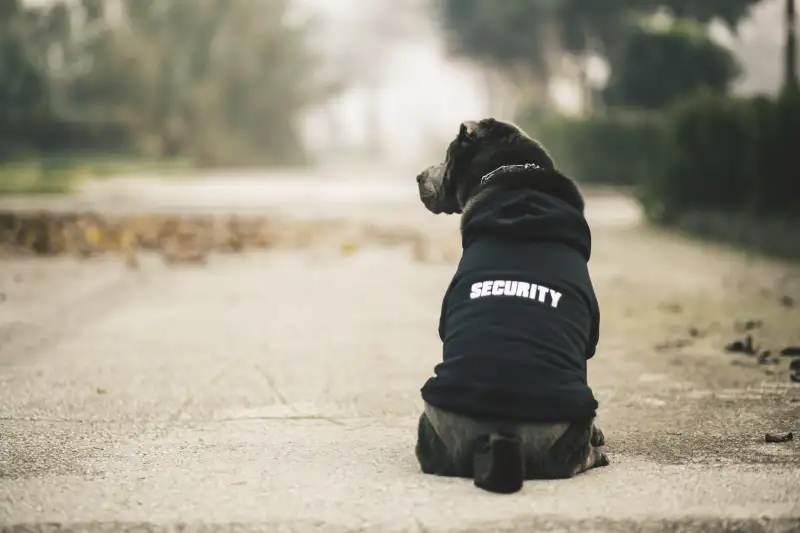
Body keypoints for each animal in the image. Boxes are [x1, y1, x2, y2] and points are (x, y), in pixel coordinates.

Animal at [412, 118, 608, 492]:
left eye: (447, 155)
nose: (418, 176)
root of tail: (498, 432)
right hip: (578, 414)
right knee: (573, 457)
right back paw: (596, 451)